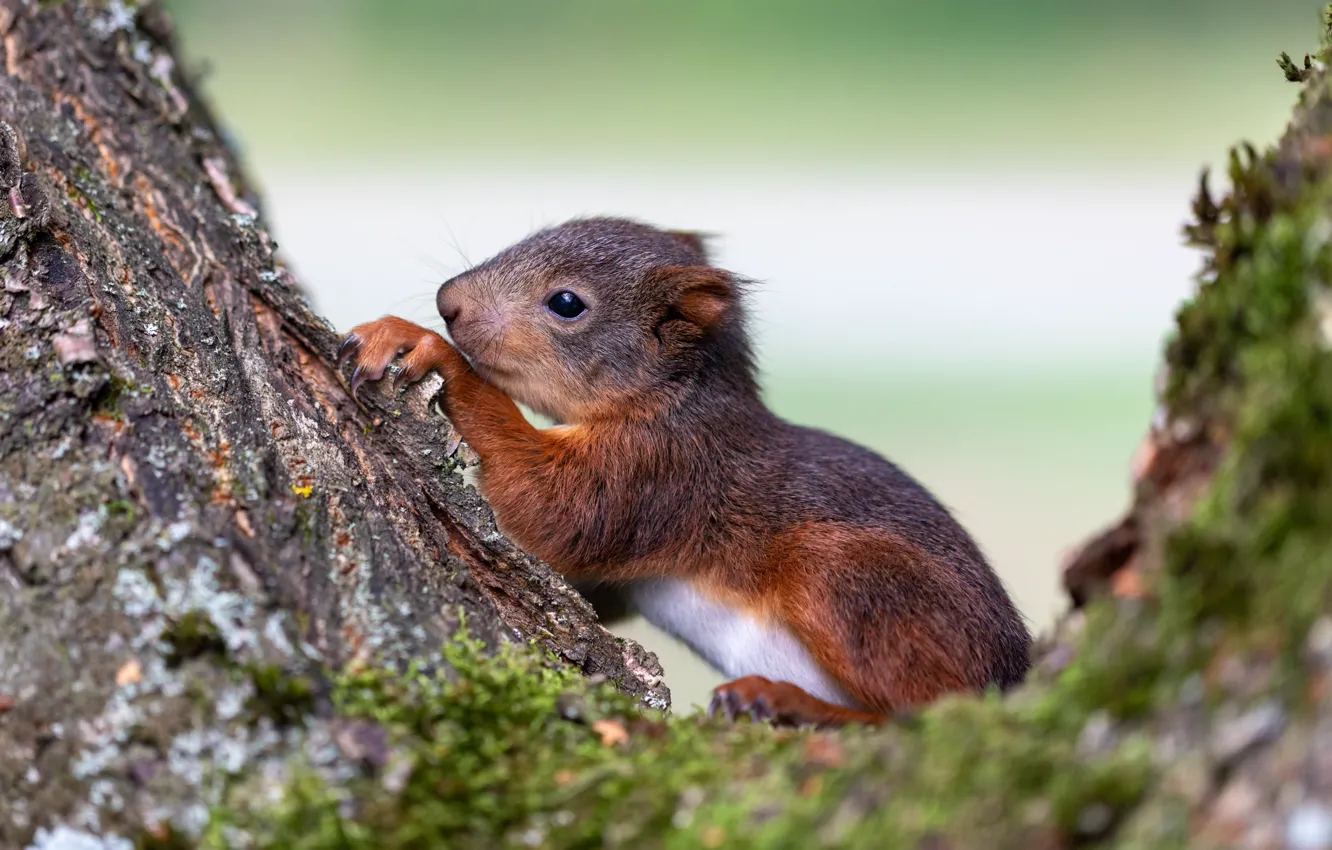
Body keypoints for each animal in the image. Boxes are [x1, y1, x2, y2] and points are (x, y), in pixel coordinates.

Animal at [339, 217, 1031, 728]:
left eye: (567, 303)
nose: (447, 301)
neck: (672, 399)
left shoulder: (665, 471)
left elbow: (559, 514)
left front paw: (420, 343)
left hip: (849, 574)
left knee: (929, 713)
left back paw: (789, 704)